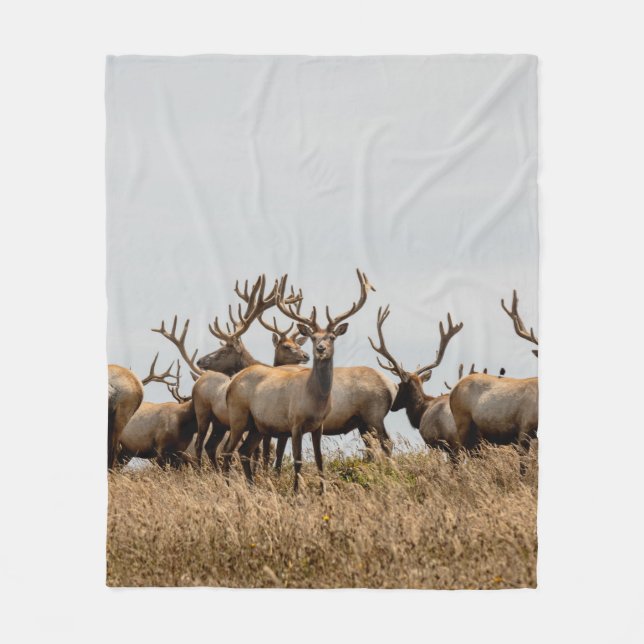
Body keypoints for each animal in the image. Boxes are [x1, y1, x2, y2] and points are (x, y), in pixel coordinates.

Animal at [222, 270, 374, 492]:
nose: (320, 349)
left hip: (257, 425)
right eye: (313, 337)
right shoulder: (295, 422)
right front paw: (296, 492)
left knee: (243, 451)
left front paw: (322, 491)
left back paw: (251, 487)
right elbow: (298, 459)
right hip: (238, 415)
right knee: (227, 450)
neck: (315, 400)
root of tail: (231, 383)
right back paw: (228, 487)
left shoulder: (319, 425)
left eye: (332, 337)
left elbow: (319, 459)